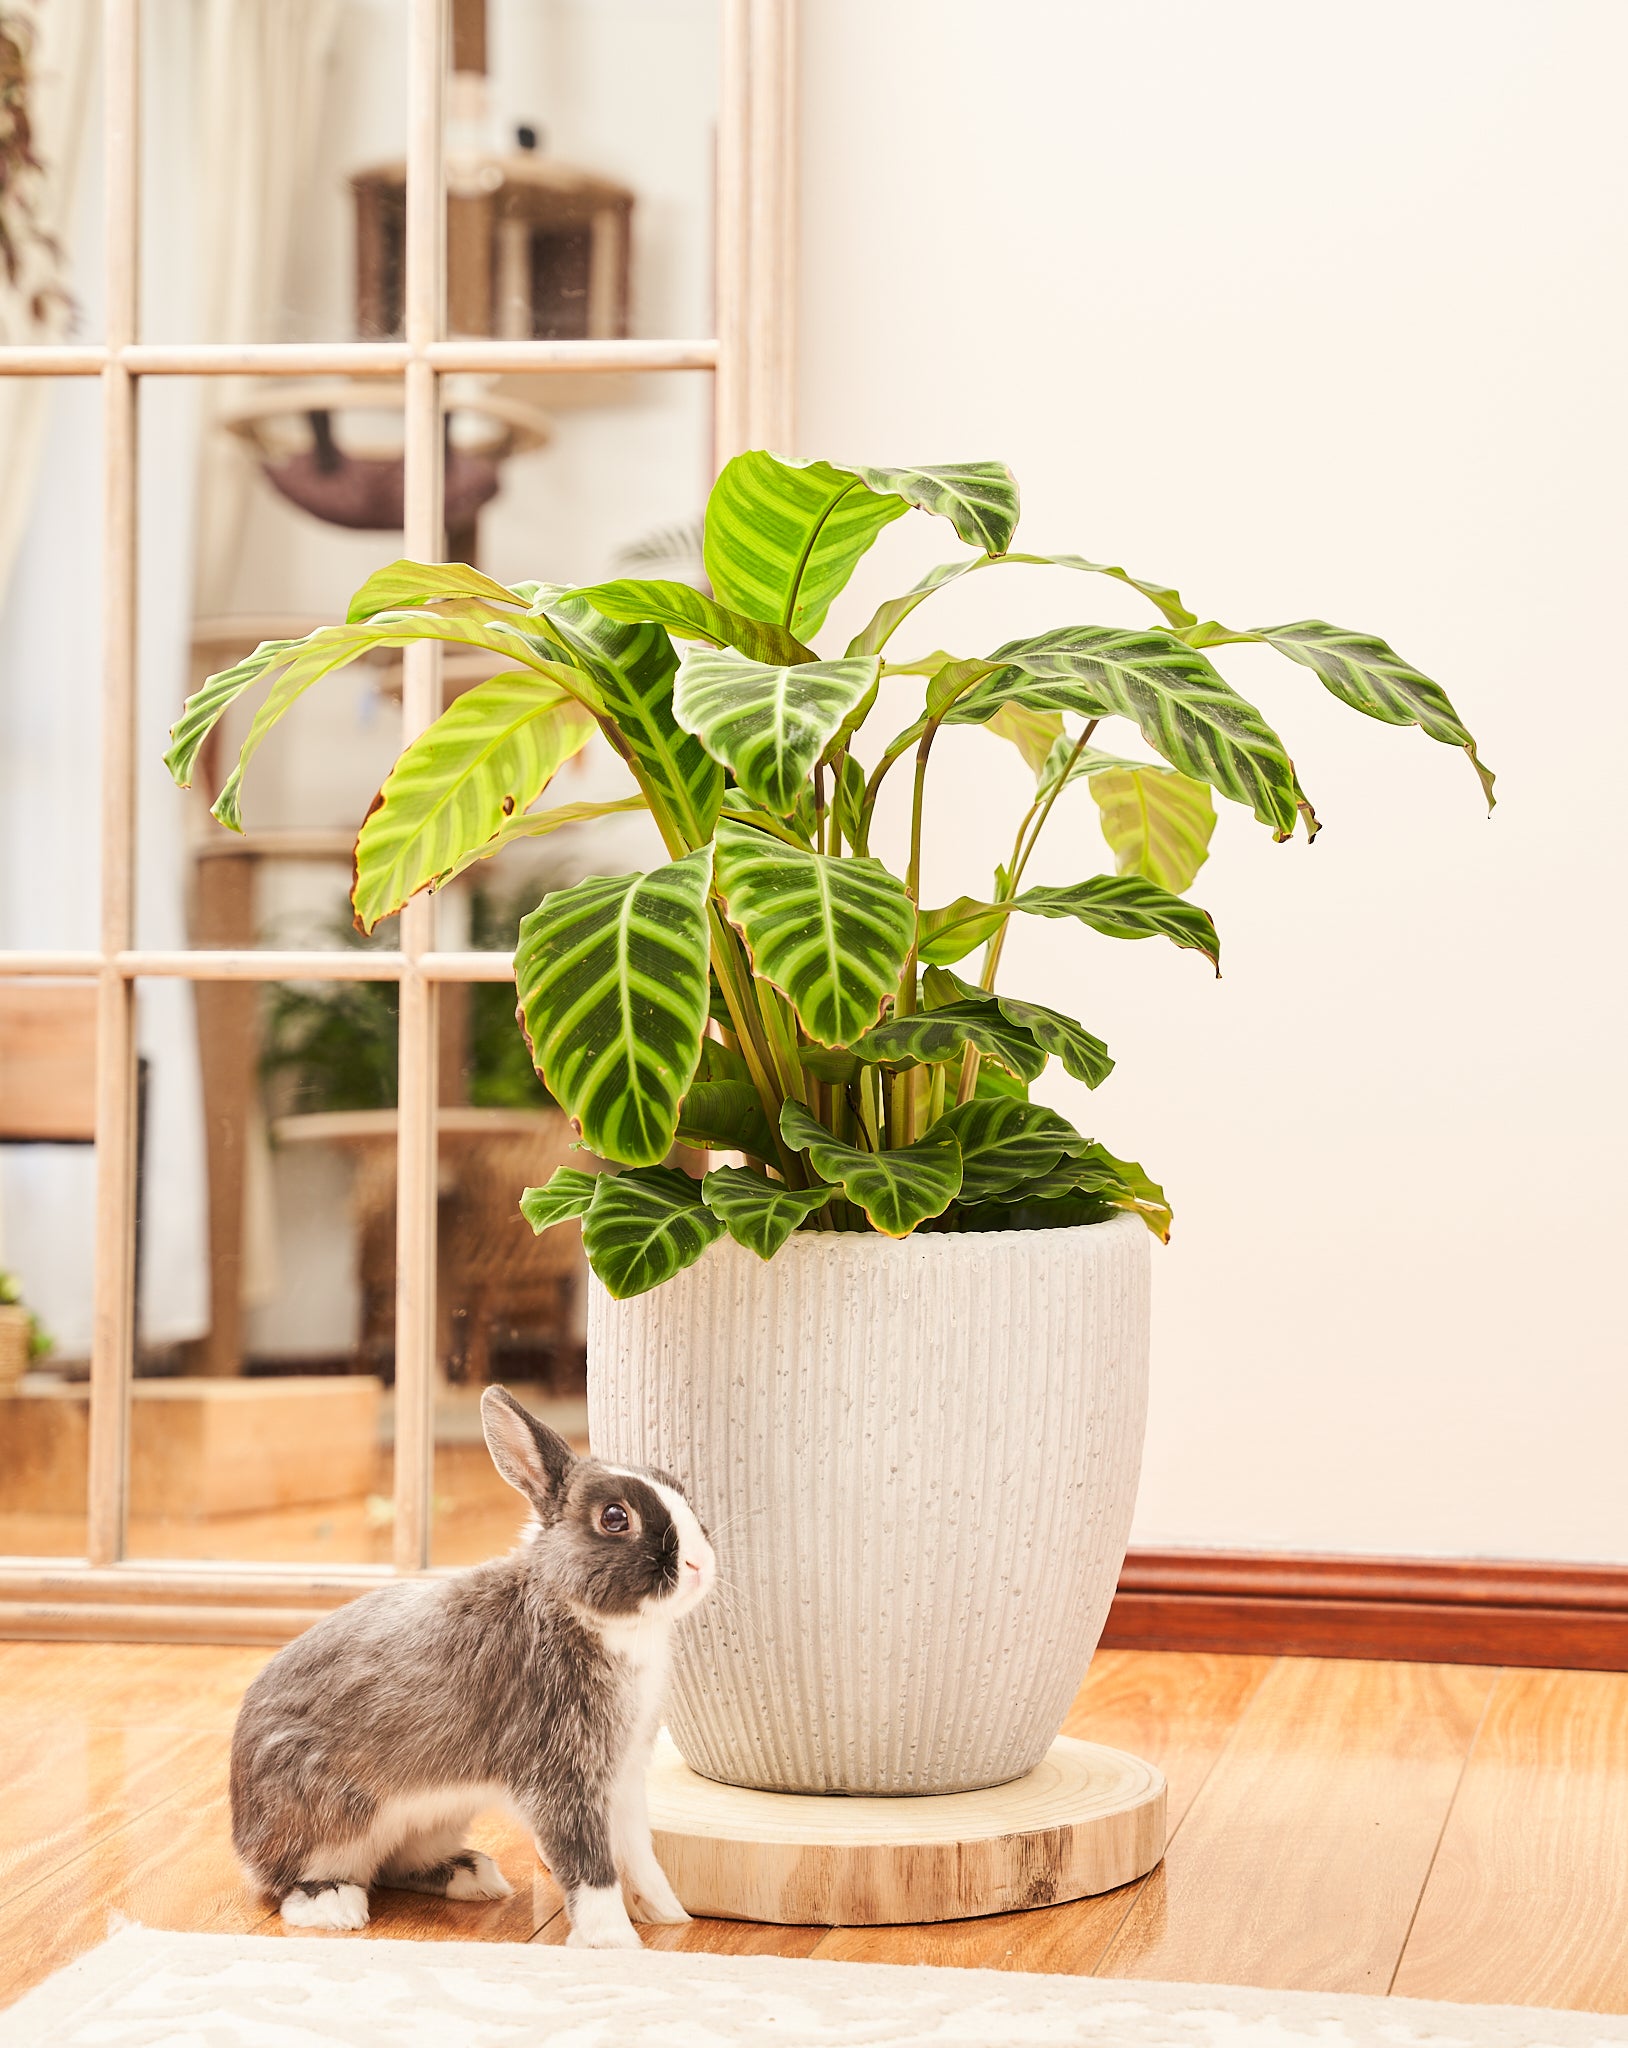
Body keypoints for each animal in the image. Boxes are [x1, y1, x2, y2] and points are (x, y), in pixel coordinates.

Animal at [227, 1384, 712, 1941]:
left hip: (434, 1817)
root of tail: (243, 1837)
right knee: (295, 1883)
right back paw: (335, 1906)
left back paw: (472, 1875)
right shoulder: (561, 1778)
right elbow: (589, 1865)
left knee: (395, 1865)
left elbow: (639, 1854)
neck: (577, 1609)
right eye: (615, 1518)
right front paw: (613, 1941)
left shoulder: (624, 1777)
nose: (700, 1564)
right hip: (334, 1824)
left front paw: (669, 1915)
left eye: (678, 1488)